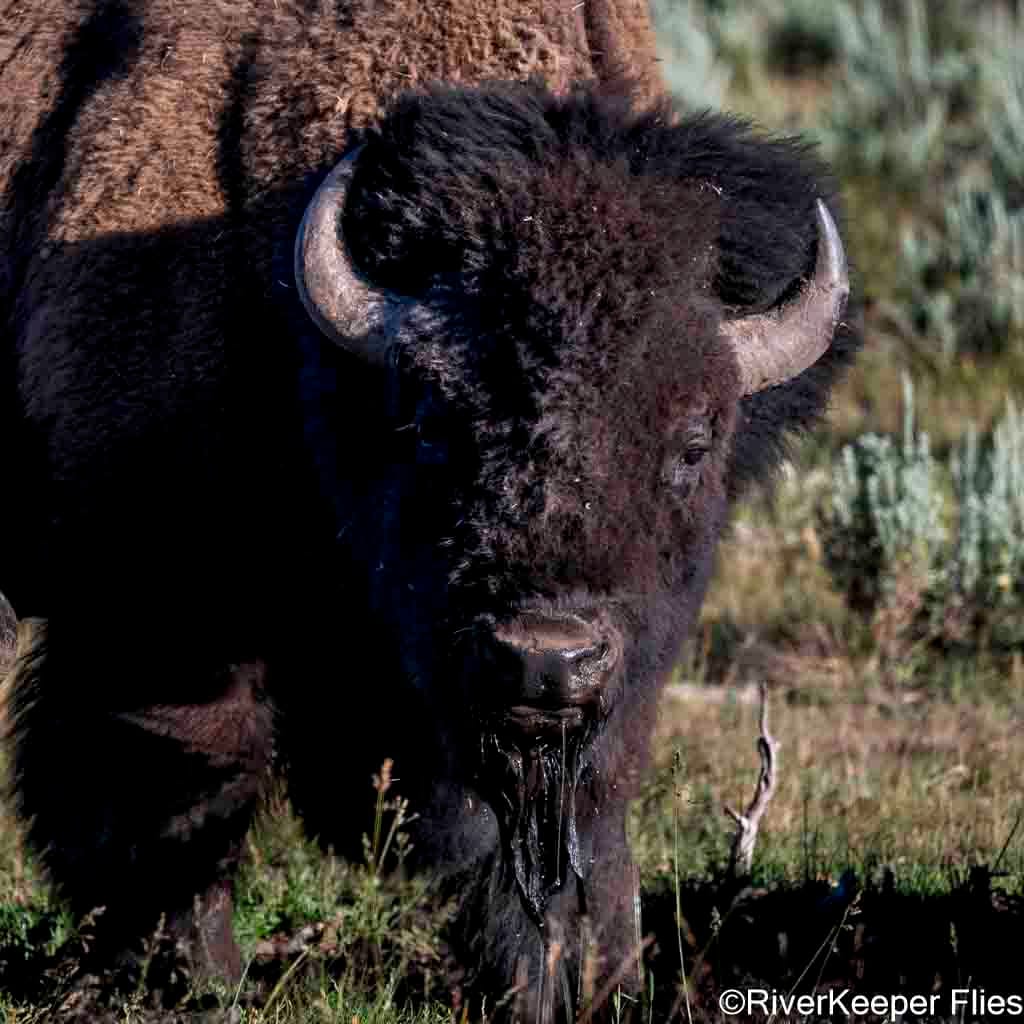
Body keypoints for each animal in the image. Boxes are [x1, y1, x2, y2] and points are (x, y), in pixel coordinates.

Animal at [0, 0, 858, 1014]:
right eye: (434, 423)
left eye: (693, 444)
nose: (545, 659)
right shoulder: (155, 609)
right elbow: (179, 787)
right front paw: (197, 978)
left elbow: (582, 815)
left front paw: (578, 976)